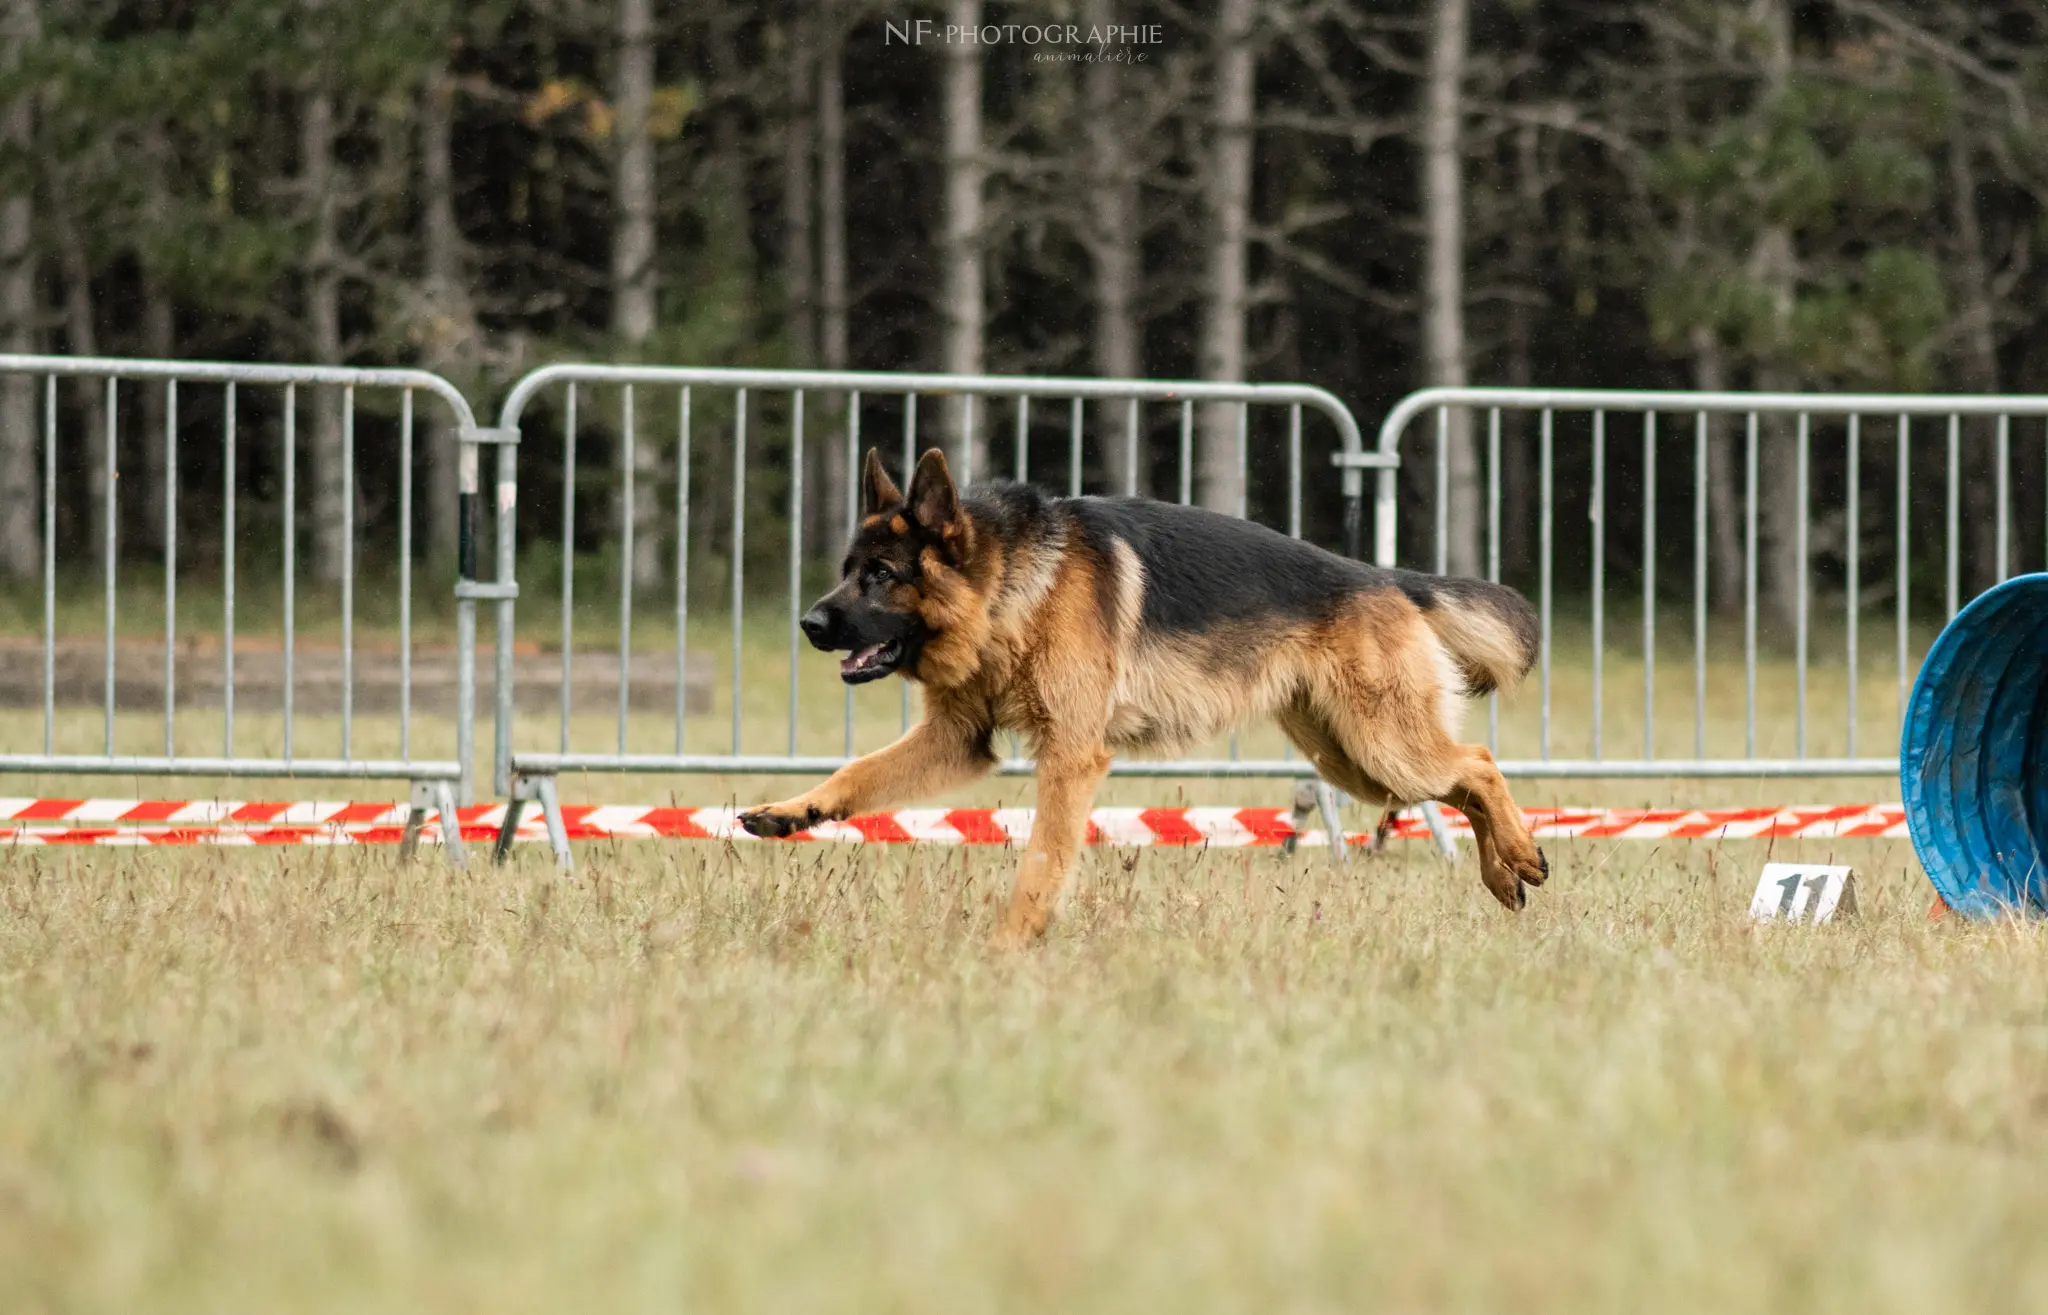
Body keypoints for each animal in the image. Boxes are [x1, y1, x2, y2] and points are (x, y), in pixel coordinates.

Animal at [741, 446, 1548, 938]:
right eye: (849, 570)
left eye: (881, 575)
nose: (809, 623)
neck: (1012, 588)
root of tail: (1385, 578)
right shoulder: (958, 741)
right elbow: (858, 771)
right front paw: (793, 811)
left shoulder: (1071, 757)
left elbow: (1043, 859)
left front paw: (1009, 945)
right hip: (1354, 763)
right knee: (1463, 784)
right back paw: (1504, 873)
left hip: (1383, 749)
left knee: (1478, 764)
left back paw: (1517, 853)